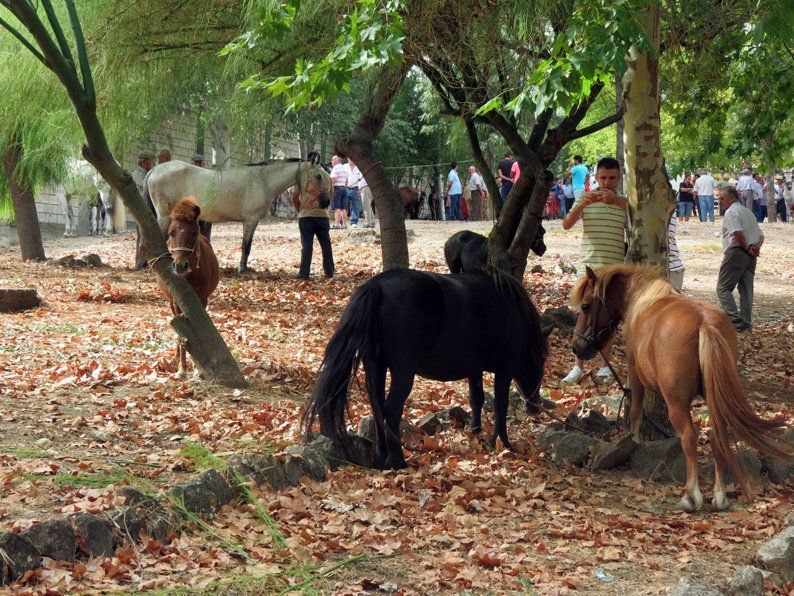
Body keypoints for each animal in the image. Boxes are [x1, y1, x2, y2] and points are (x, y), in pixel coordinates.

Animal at [145, 155, 332, 274]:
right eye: (318, 176)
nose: (325, 202)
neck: (262, 180)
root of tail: (154, 170)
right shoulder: (250, 220)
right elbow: (246, 246)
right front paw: (243, 270)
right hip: (164, 216)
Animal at [156, 198, 218, 380]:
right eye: (171, 233)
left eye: (193, 232)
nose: (180, 265)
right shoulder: (176, 303)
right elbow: (182, 334)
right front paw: (182, 369)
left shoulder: (202, 301)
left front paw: (198, 368)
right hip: (171, 303)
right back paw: (176, 357)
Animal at [300, 268, 548, 470]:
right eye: (541, 364)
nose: (534, 407)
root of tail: (377, 286)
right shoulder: (504, 370)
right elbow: (500, 405)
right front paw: (501, 442)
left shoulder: (474, 369)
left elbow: (476, 399)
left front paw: (476, 433)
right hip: (402, 371)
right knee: (391, 410)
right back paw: (398, 461)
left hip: (375, 366)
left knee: (378, 408)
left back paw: (382, 458)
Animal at [568, 266, 784, 512]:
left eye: (586, 306)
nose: (577, 346)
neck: (644, 301)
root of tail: (704, 323)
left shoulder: (635, 372)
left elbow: (636, 410)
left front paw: (632, 440)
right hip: (713, 400)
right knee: (717, 437)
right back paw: (719, 496)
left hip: (678, 404)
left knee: (689, 438)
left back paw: (690, 495)